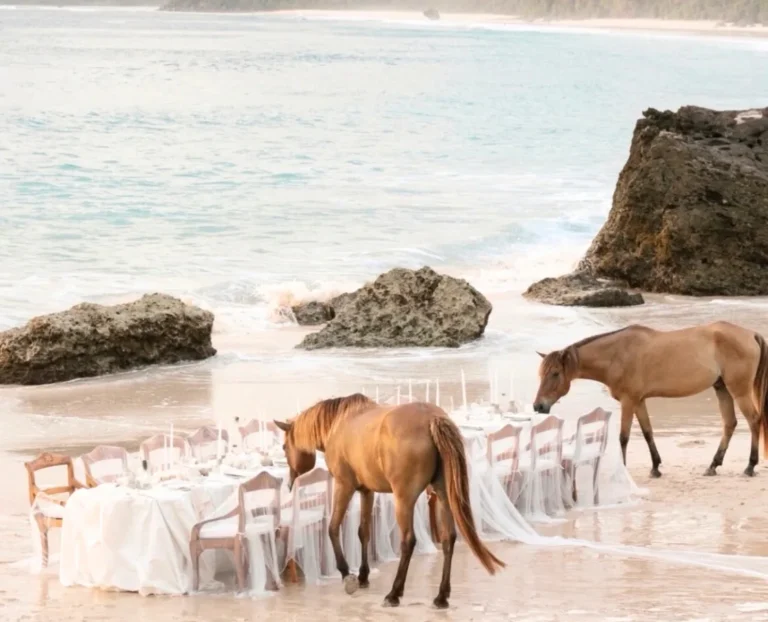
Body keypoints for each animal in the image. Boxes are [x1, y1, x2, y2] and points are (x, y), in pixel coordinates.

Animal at [274, 393, 504, 609]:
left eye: (284, 447)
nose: (289, 482)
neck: (338, 423)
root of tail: (432, 418)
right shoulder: (366, 491)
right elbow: (363, 532)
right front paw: (363, 576)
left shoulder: (344, 485)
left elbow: (332, 528)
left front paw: (347, 574)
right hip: (443, 495)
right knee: (449, 538)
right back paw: (441, 596)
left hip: (403, 499)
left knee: (408, 540)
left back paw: (394, 593)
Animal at [532, 321, 768, 478]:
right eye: (541, 374)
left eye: (555, 373)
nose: (538, 406)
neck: (617, 354)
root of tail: (751, 334)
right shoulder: (639, 401)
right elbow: (647, 433)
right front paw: (655, 467)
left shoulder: (628, 401)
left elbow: (624, 437)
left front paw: (623, 471)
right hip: (722, 388)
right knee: (730, 423)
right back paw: (713, 465)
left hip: (739, 391)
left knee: (754, 420)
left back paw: (750, 466)